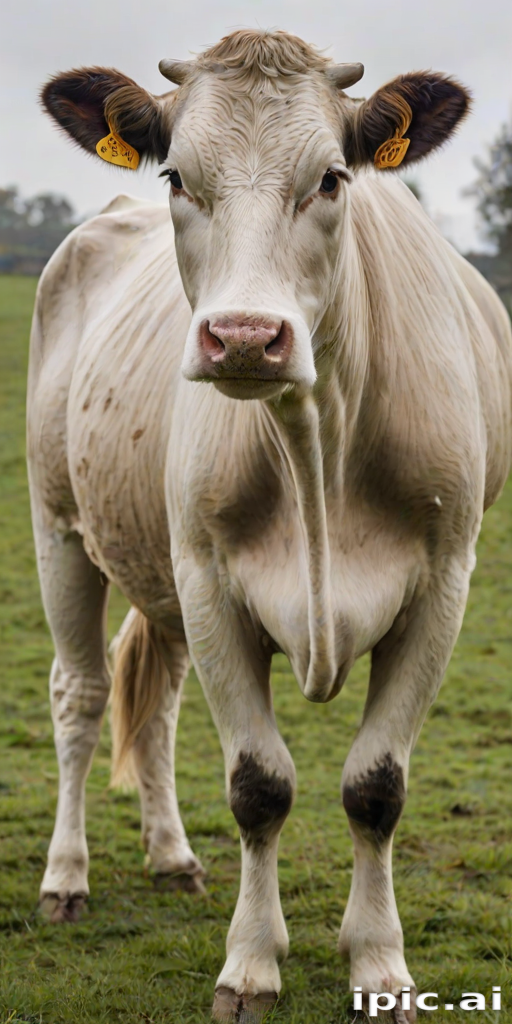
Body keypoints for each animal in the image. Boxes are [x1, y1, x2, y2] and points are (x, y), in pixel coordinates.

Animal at [29, 28, 511, 1023]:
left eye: (331, 177)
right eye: (178, 175)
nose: (246, 337)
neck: (315, 445)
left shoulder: (445, 583)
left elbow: (376, 787)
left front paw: (380, 964)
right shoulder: (212, 579)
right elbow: (259, 785)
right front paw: (250, 965)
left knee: (158, 699)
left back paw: (173, 856)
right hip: (61, 525)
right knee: (82, 696)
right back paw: (66, 876)